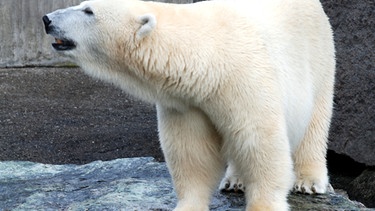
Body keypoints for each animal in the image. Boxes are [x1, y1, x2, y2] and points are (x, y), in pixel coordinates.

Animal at [43, 0, 334, 209]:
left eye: (88, 10)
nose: (47, 19)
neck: (210, 59)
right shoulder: (187, 102)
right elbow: (191, 153)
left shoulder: (246, 80)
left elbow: (261, 142)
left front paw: (263, 204)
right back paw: (235, 179)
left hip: (317, 53)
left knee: (315, 119)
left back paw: (309, 180)